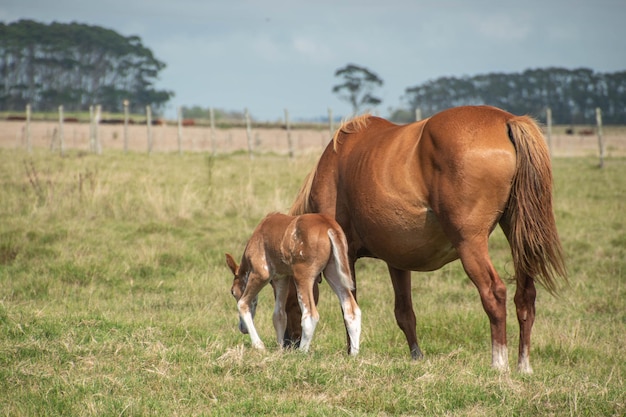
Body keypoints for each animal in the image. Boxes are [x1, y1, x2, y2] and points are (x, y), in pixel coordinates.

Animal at [224, 213, 360, 352]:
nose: (242, 328)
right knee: (351, 310)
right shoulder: (281, 278)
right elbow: (279, 315)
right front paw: (280, 350)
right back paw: (354, 353)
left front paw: (259, 345)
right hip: (333, 272)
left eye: (233, 292)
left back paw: (301, 352)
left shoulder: (261, 273)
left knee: (310, 314)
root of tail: (329, 226)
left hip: (303, 276)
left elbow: (242, 304)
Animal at [286, 105, 564, 372]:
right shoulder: (397, 262)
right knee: (525, 297)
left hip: (470, 244)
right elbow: (404, 313)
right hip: (518, 236)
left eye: (288, 299)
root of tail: (507, 121)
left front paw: (351, 353)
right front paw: (416, 356)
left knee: (494, 293)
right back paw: (523, 366)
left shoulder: (347, 257)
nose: (287, 344)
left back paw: (499, 363)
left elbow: (349, 306)